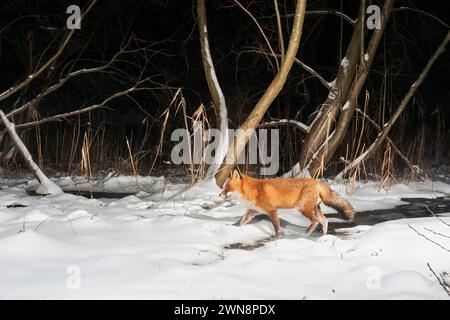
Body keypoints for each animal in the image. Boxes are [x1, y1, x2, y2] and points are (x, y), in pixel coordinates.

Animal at [220, 170, 356, 238]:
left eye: (227, 188)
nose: (220, 195)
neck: (254, 191)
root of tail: (317, 182)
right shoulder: (253, 211)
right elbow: (241, 222)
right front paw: (234, 229)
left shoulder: (272, 210)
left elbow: (277, 228)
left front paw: (277, 239)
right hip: (315, 209)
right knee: (324, 221)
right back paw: (324, 237)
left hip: (302, 208)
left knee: (316, 221)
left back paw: (306, 234)